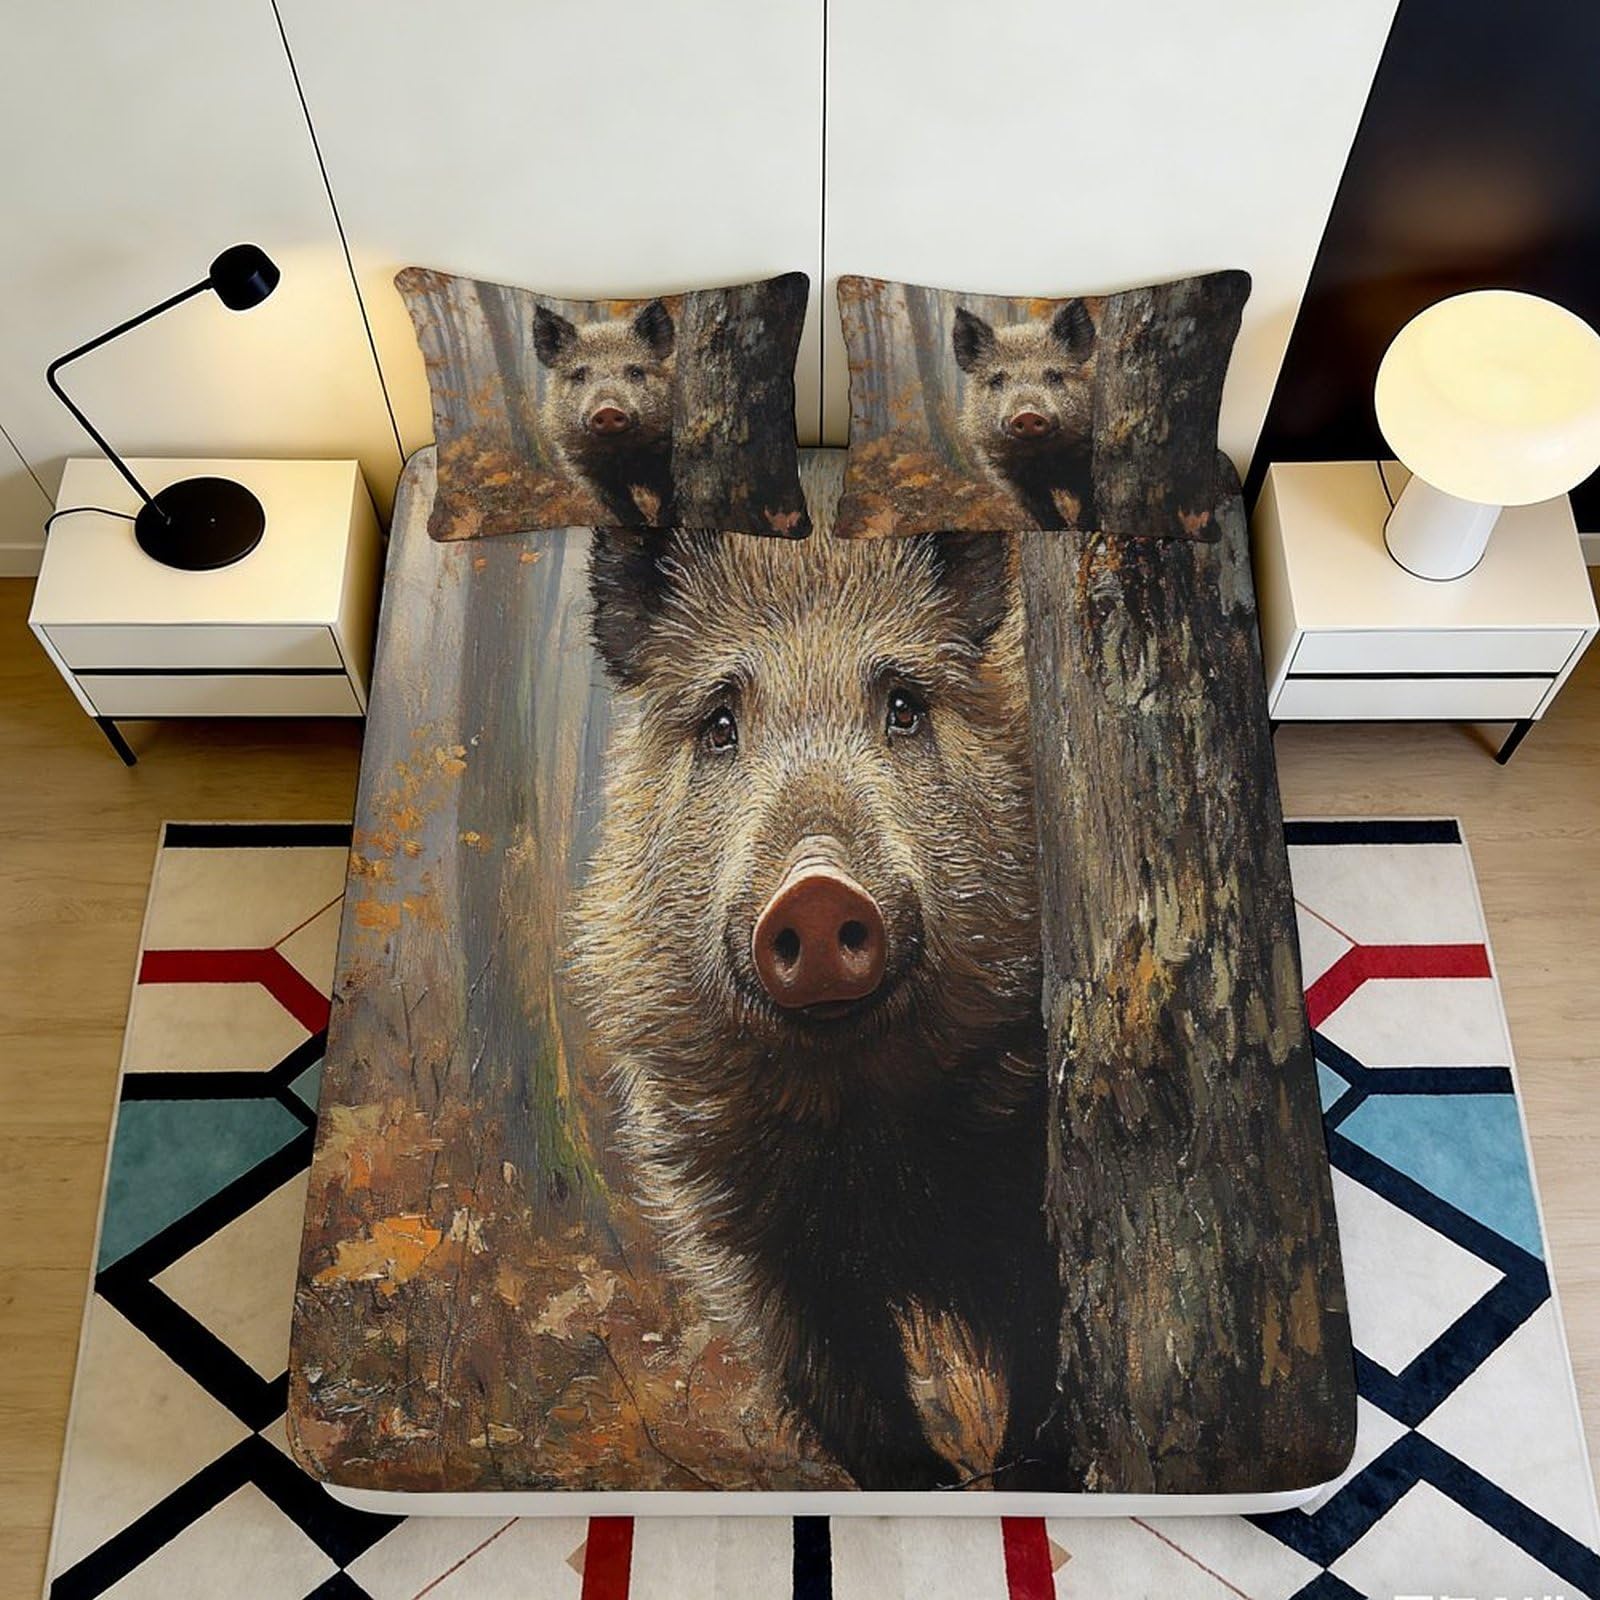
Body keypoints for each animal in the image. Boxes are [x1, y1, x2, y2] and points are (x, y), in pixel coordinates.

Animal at [533, 299, 677, 526]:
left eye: (635, 372)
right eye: (579, 375)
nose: (607, 409)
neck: (623, 456)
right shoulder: (588, 472)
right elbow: (622, 508)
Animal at [953, 299, 1097, 531]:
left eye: (1054, 376)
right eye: (997, 380)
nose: (1027, 414)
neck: (1044, 461)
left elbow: (1090, 501)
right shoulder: (1011, 479)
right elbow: (1044, 514)